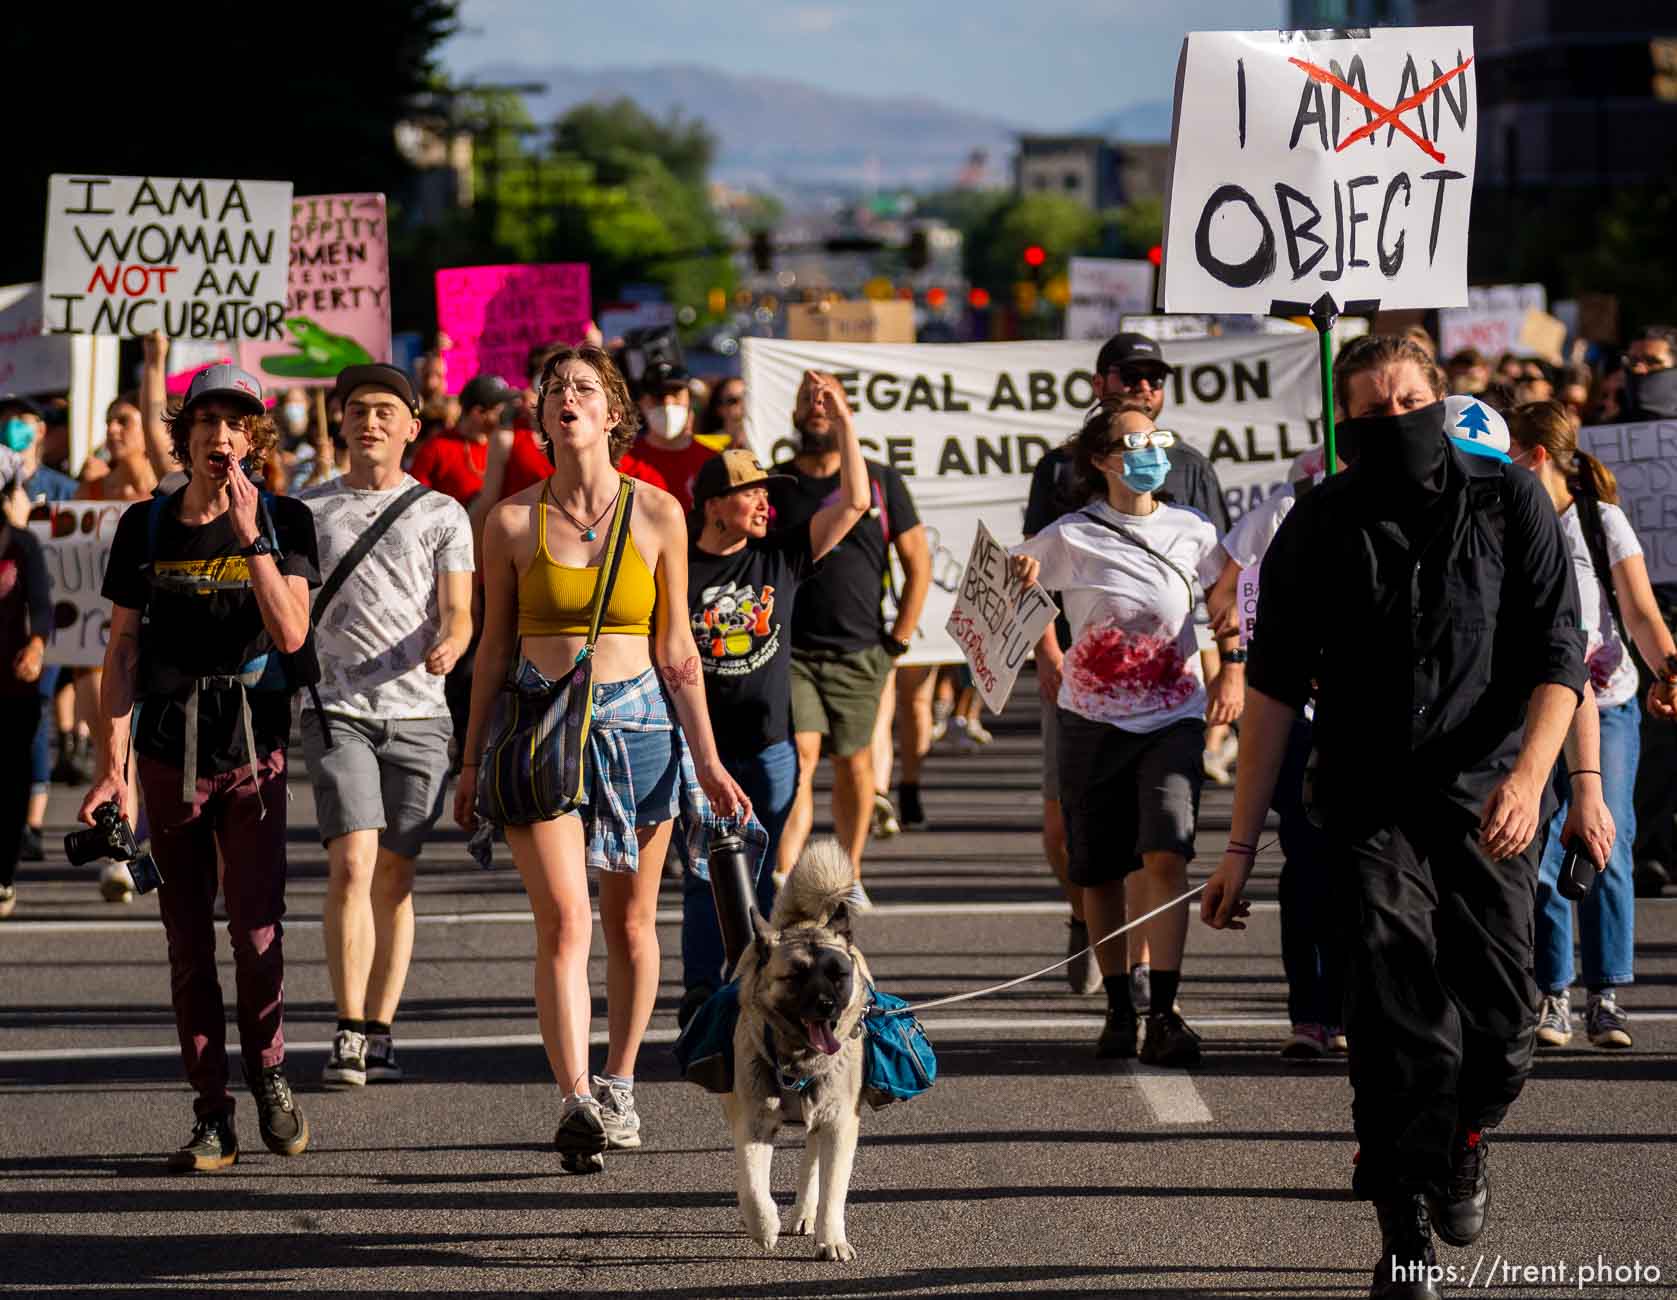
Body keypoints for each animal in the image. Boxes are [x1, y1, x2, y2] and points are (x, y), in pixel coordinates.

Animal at [724, 838, 872, 1268]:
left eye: (838, 975)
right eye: (795, 976)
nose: (826, 1006)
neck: (798, 1060)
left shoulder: (841, 1124)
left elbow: (833, 1189)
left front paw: (832, 1239)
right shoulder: (753, 1121)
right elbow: (752, 1186)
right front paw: (764, 1226)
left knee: (813, 1161)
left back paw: (807, 1213)